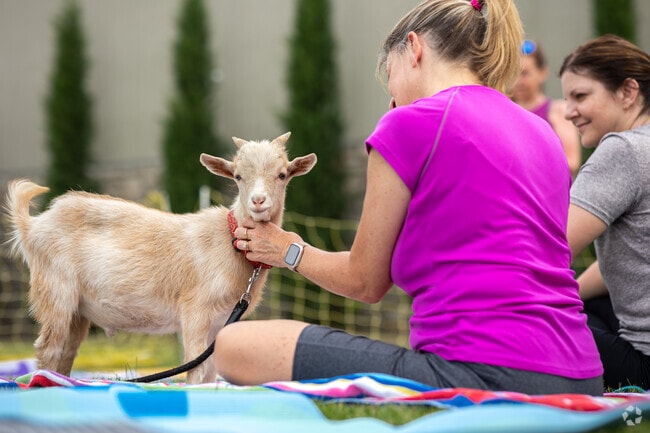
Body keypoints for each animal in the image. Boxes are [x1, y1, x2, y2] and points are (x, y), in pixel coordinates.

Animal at [4, 132, 317, 383]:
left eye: (282, 174)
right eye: (238, 176)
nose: (258, 201)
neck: (228, 240)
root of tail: (33, 225)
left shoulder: (221, 321)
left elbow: (211, 370)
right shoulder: (195, 311)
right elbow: (197, 368)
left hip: (77, 310)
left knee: (66, 352)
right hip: (56, 290)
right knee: (49, 348)